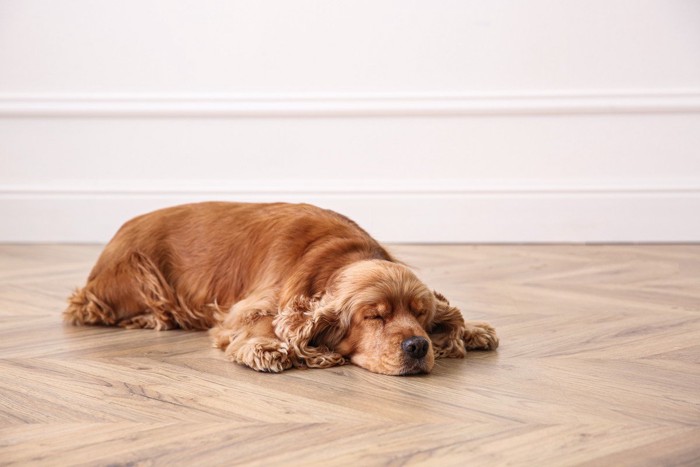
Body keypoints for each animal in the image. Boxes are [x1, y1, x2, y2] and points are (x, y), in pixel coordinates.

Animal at [63, 203, 494, 374]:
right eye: (374, 317)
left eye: (421, 315)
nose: (418, 346)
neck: (338, 258)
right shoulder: (248, 305)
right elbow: (260, 322)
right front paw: (266, 347)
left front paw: (474, 330)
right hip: (141, 275)